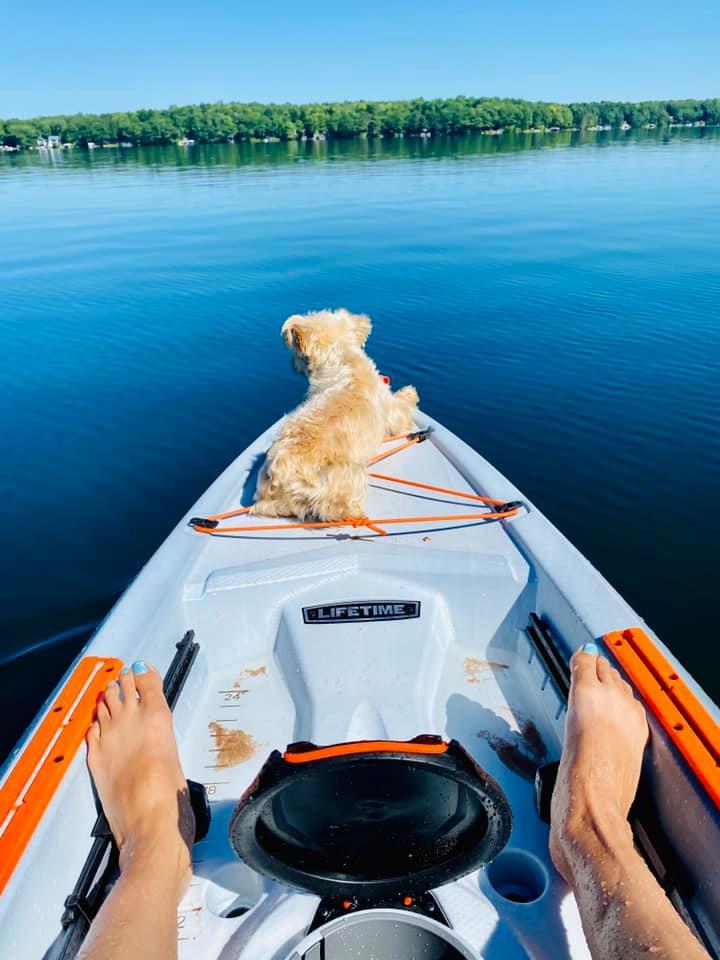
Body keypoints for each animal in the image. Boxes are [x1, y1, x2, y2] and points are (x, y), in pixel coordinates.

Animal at [252, 310, 422, 520]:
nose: (292, 363)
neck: (344, 360)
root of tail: (278, 472)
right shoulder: (393, 415)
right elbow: (403, 410)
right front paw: (410, 393)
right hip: (349, 476)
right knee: (334, 507)